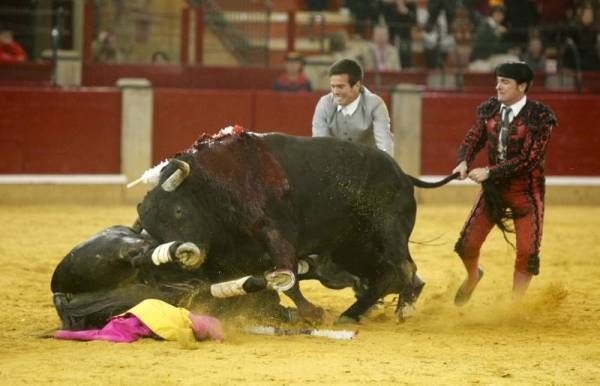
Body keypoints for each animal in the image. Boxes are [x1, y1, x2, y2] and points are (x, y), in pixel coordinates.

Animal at [137, 133, 454, 322]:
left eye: (178, 211)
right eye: (156, 232)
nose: (185, 255)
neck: (216, 186)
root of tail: (403, 174)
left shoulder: (278, 234)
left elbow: (287, 280)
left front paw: (312, 312)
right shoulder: (230, 259)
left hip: (387, 231)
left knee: (403, 267)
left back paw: (395, 308)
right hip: (352, 247)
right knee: (385, 274)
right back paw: (357, 312)